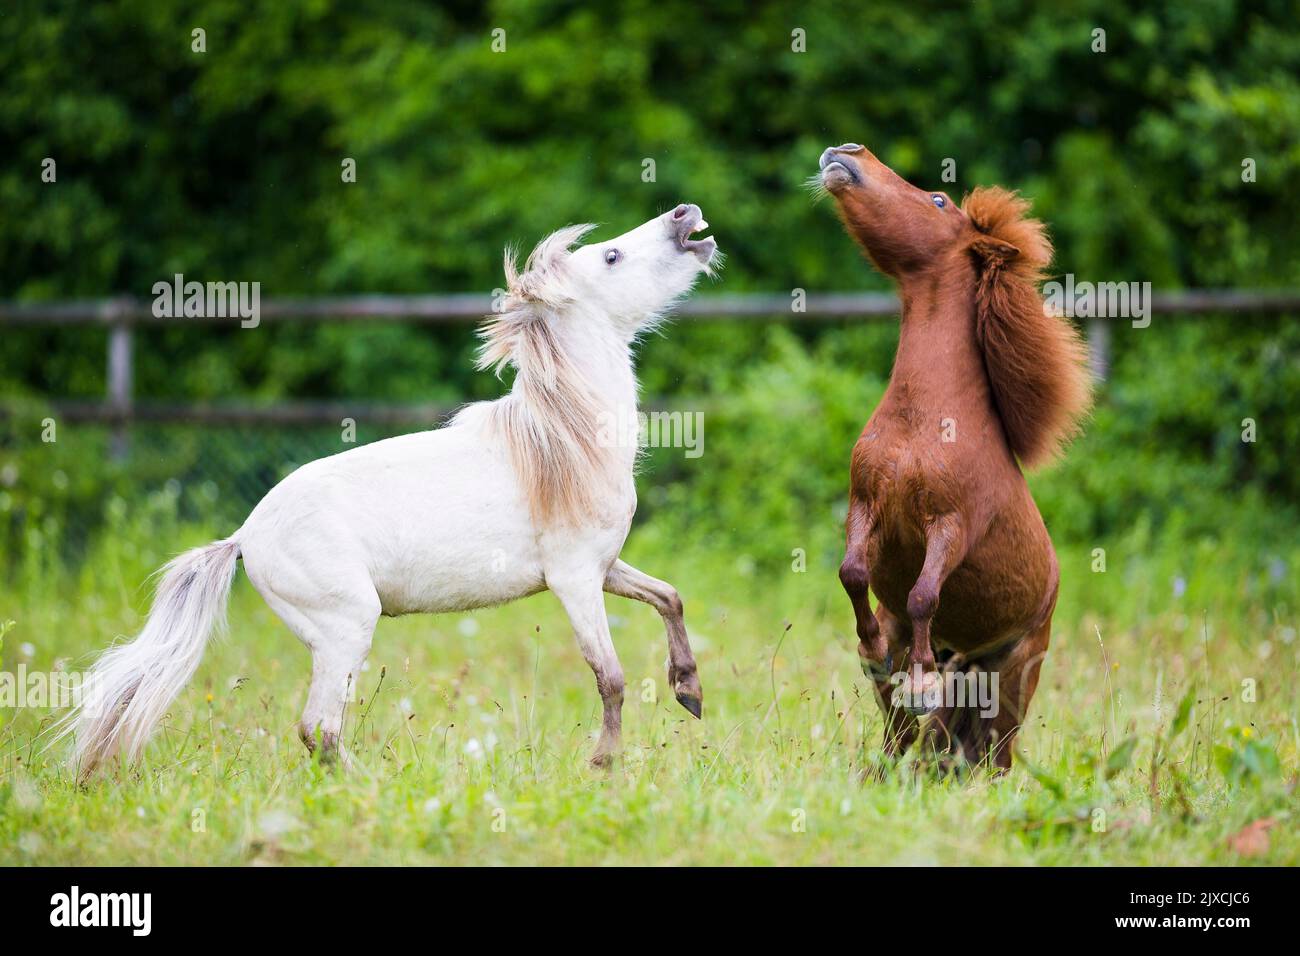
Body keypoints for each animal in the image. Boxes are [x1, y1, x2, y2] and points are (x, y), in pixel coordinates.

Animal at [68, 204, 722, 780]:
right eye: (611, 255)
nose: (685, 217)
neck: (565, 443)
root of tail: (243, 538)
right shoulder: (574, 578)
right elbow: (609, 677)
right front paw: (603, 764)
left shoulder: (604, 567)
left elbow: (669, 597)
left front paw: (689, 692)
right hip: (346, 630)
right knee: (319, 727)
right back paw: (374, 788)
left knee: (318, 731)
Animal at [821, 140, 1086, 770]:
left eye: (939, 199)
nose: (845, 151)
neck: (923, 421)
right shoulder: (866, 505)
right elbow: (853, 572)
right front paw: (874, 650)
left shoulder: (951, 524)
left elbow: (923, 595)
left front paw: (919, 681)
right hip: (964, 667)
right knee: (905, 733)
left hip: (1014, 676)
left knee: (994, 751)